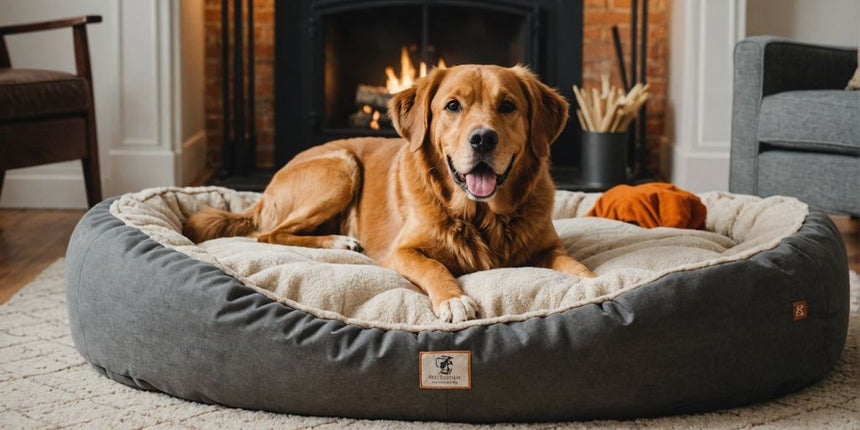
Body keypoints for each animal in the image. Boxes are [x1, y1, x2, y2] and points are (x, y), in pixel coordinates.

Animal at [185, 64, 596, 322]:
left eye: (508, 105)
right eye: (452, 106)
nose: (482, 139)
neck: (483, 216)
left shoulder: (549, 247)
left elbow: (575, 265)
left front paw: (596, 283)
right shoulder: (402, 252)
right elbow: (434, 266)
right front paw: (454, 300)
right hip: (341, 168)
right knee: (270, 234)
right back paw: (339, 241)